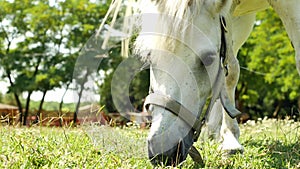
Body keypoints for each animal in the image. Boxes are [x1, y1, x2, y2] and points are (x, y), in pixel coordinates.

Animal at [131, 0, 300, 166]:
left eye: (208, 59)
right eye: (148, 56)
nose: (162, 150)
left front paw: (230, 141)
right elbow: (229, 71)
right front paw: (230, 141)